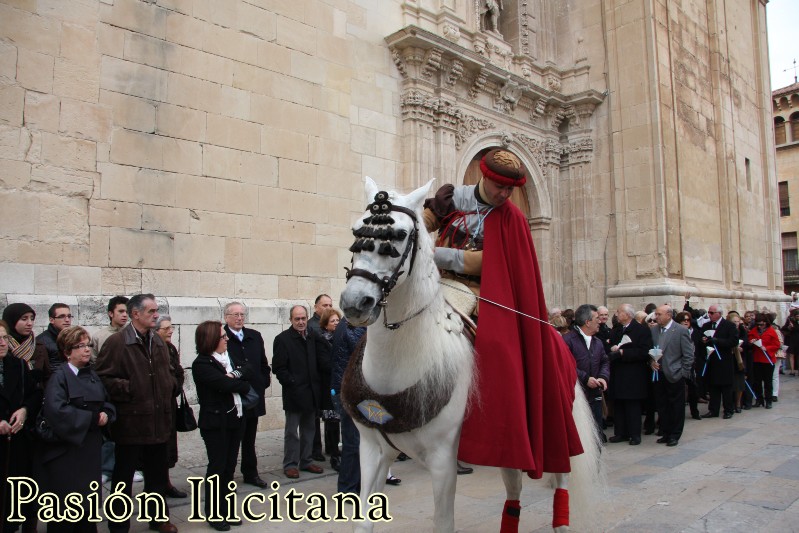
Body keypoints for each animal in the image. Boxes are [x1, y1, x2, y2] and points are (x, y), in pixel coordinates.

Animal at [340, 177, 604, 528]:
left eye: (398, 236)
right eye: (357, 231)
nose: (355, 303)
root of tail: (557, 332)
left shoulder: (443, 461)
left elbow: (443, 522)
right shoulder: (373, 451)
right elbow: (363, 521)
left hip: (556, 429)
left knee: (561, 479)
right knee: (514, 489)